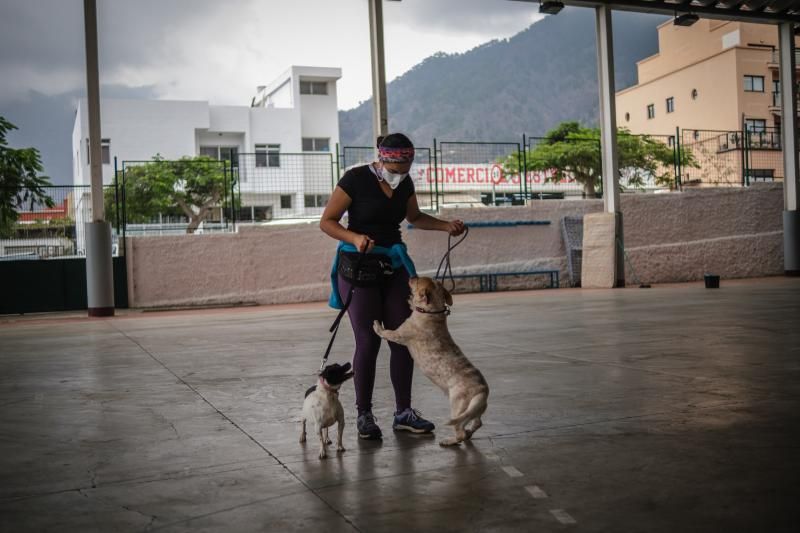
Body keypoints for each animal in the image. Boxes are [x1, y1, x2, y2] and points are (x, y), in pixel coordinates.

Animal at [374, 274, 488, 444]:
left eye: (418, 280)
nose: (412, 275)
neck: (431, 312)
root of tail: (482, 390)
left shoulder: (399, 334)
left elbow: (386, 332)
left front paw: (376, 325)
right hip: (472, 412)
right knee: (477, 423)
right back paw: (468, 432)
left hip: (457, 407)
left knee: (460, 433)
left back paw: (449, 441)